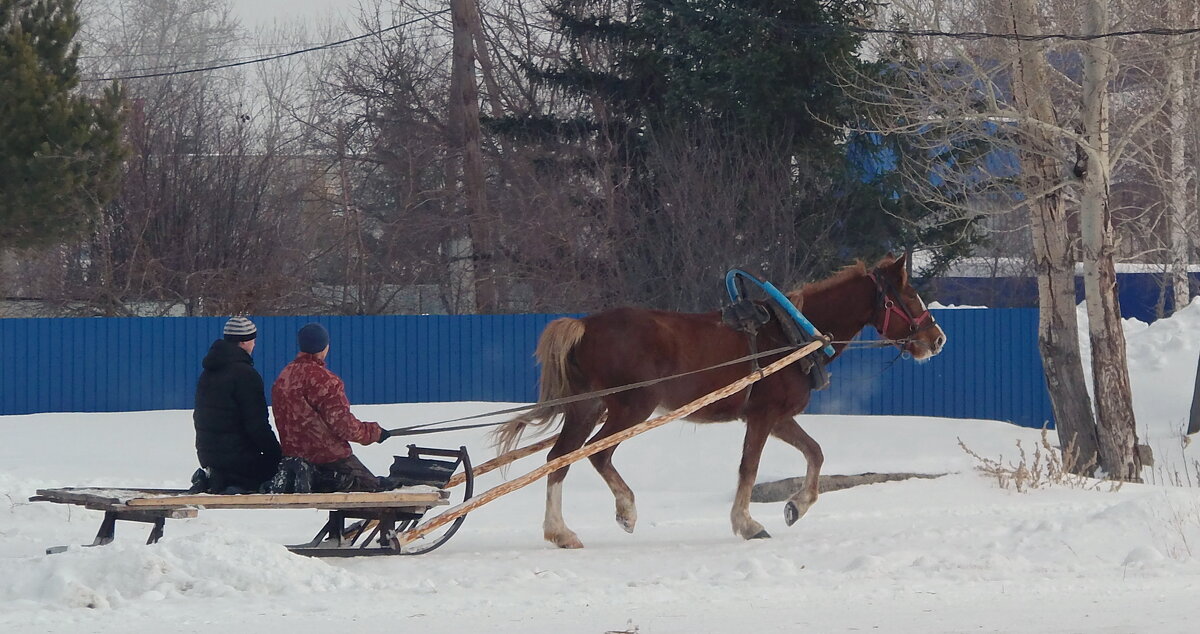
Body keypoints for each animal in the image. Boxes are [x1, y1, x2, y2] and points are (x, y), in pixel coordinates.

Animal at [494, 254, 945, 547]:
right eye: (909, 297)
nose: (937, 339)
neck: (790, 332)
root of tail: (584, 325)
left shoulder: (779, 417)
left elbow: (815, 452)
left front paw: (796, 506)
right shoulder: (762, 416)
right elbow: (749, 468)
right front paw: (747, 523)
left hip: (588, 407)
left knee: (559, 458)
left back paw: (560, 531)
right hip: (630, 407)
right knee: (596, 455)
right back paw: (625, 510)